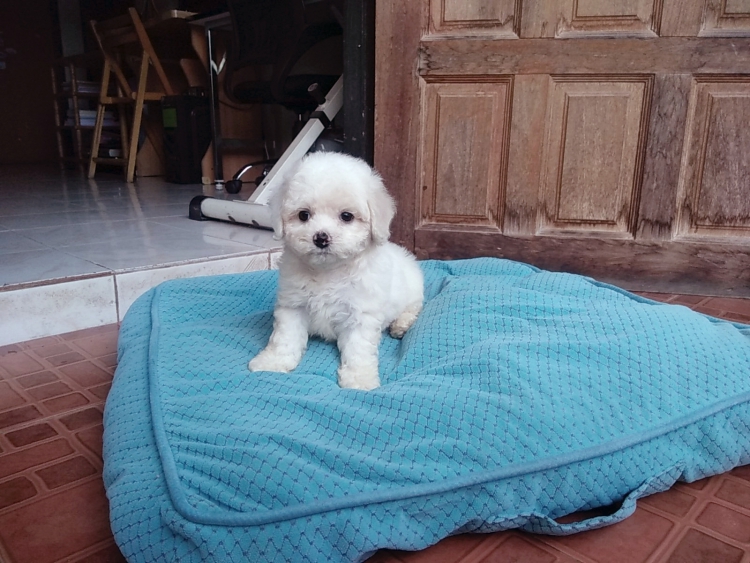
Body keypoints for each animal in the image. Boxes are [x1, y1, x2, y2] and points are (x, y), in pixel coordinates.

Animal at [248, 152, 424, 390]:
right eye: (303, 215)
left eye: (346, 216)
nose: (321, 238)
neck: (329, 271)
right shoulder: (293, 306)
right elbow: (284, 338)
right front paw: (272, 362)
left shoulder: (361, 314)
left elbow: (359, 350)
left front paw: (360, 379)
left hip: (413, 290)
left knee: (413, 307)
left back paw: (400, 326)